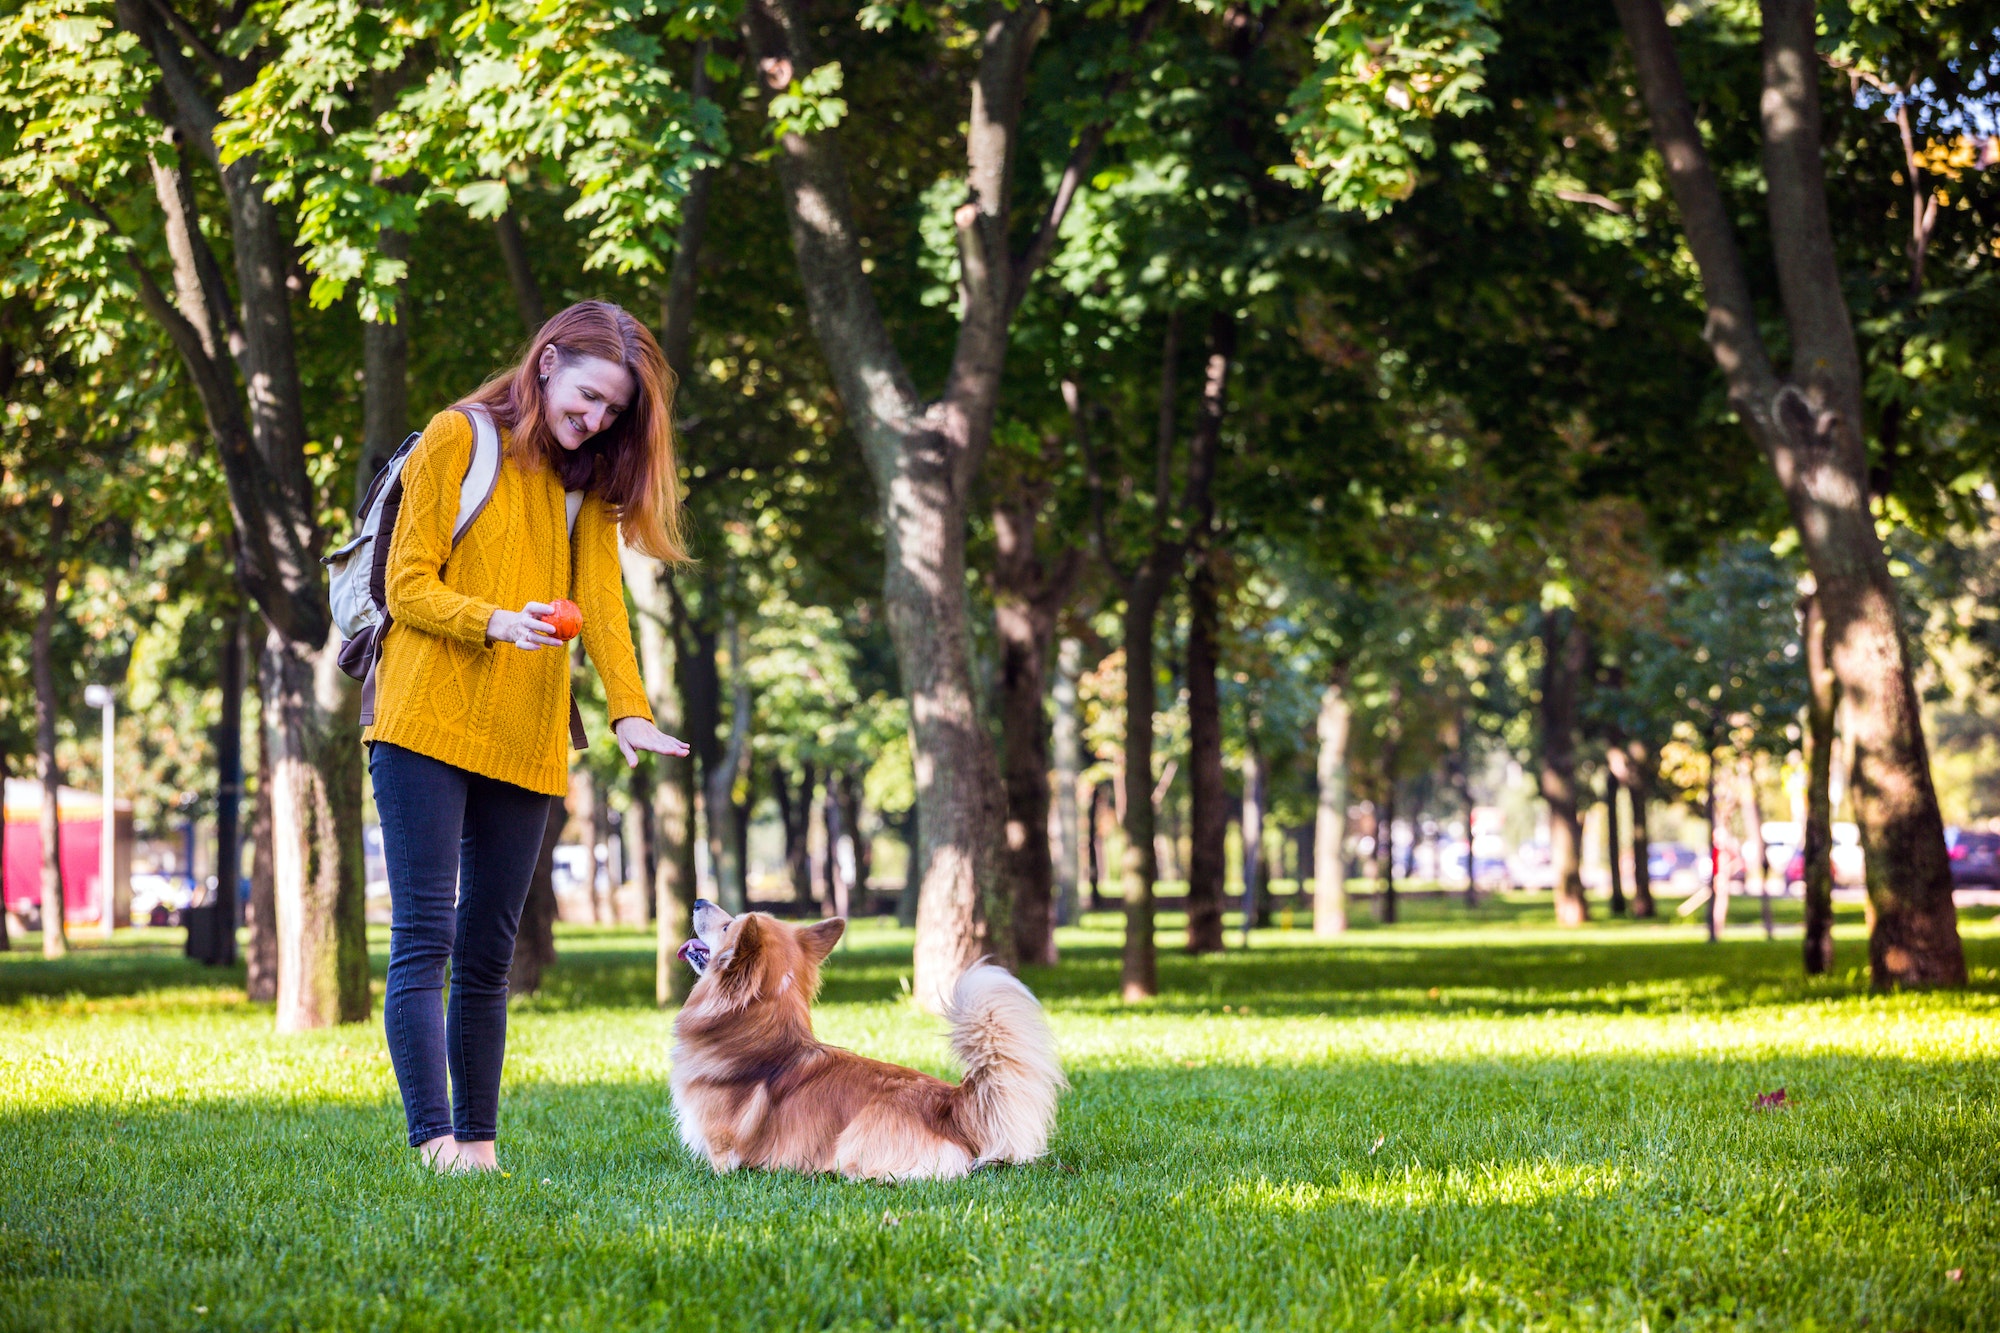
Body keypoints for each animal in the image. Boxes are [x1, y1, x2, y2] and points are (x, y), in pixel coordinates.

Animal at [672, 896, 1072, 1176]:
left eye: (728, 927)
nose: (698, 901)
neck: (757, 1032)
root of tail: (951, 1103)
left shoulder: (722, 1157)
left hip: (856, 1142)